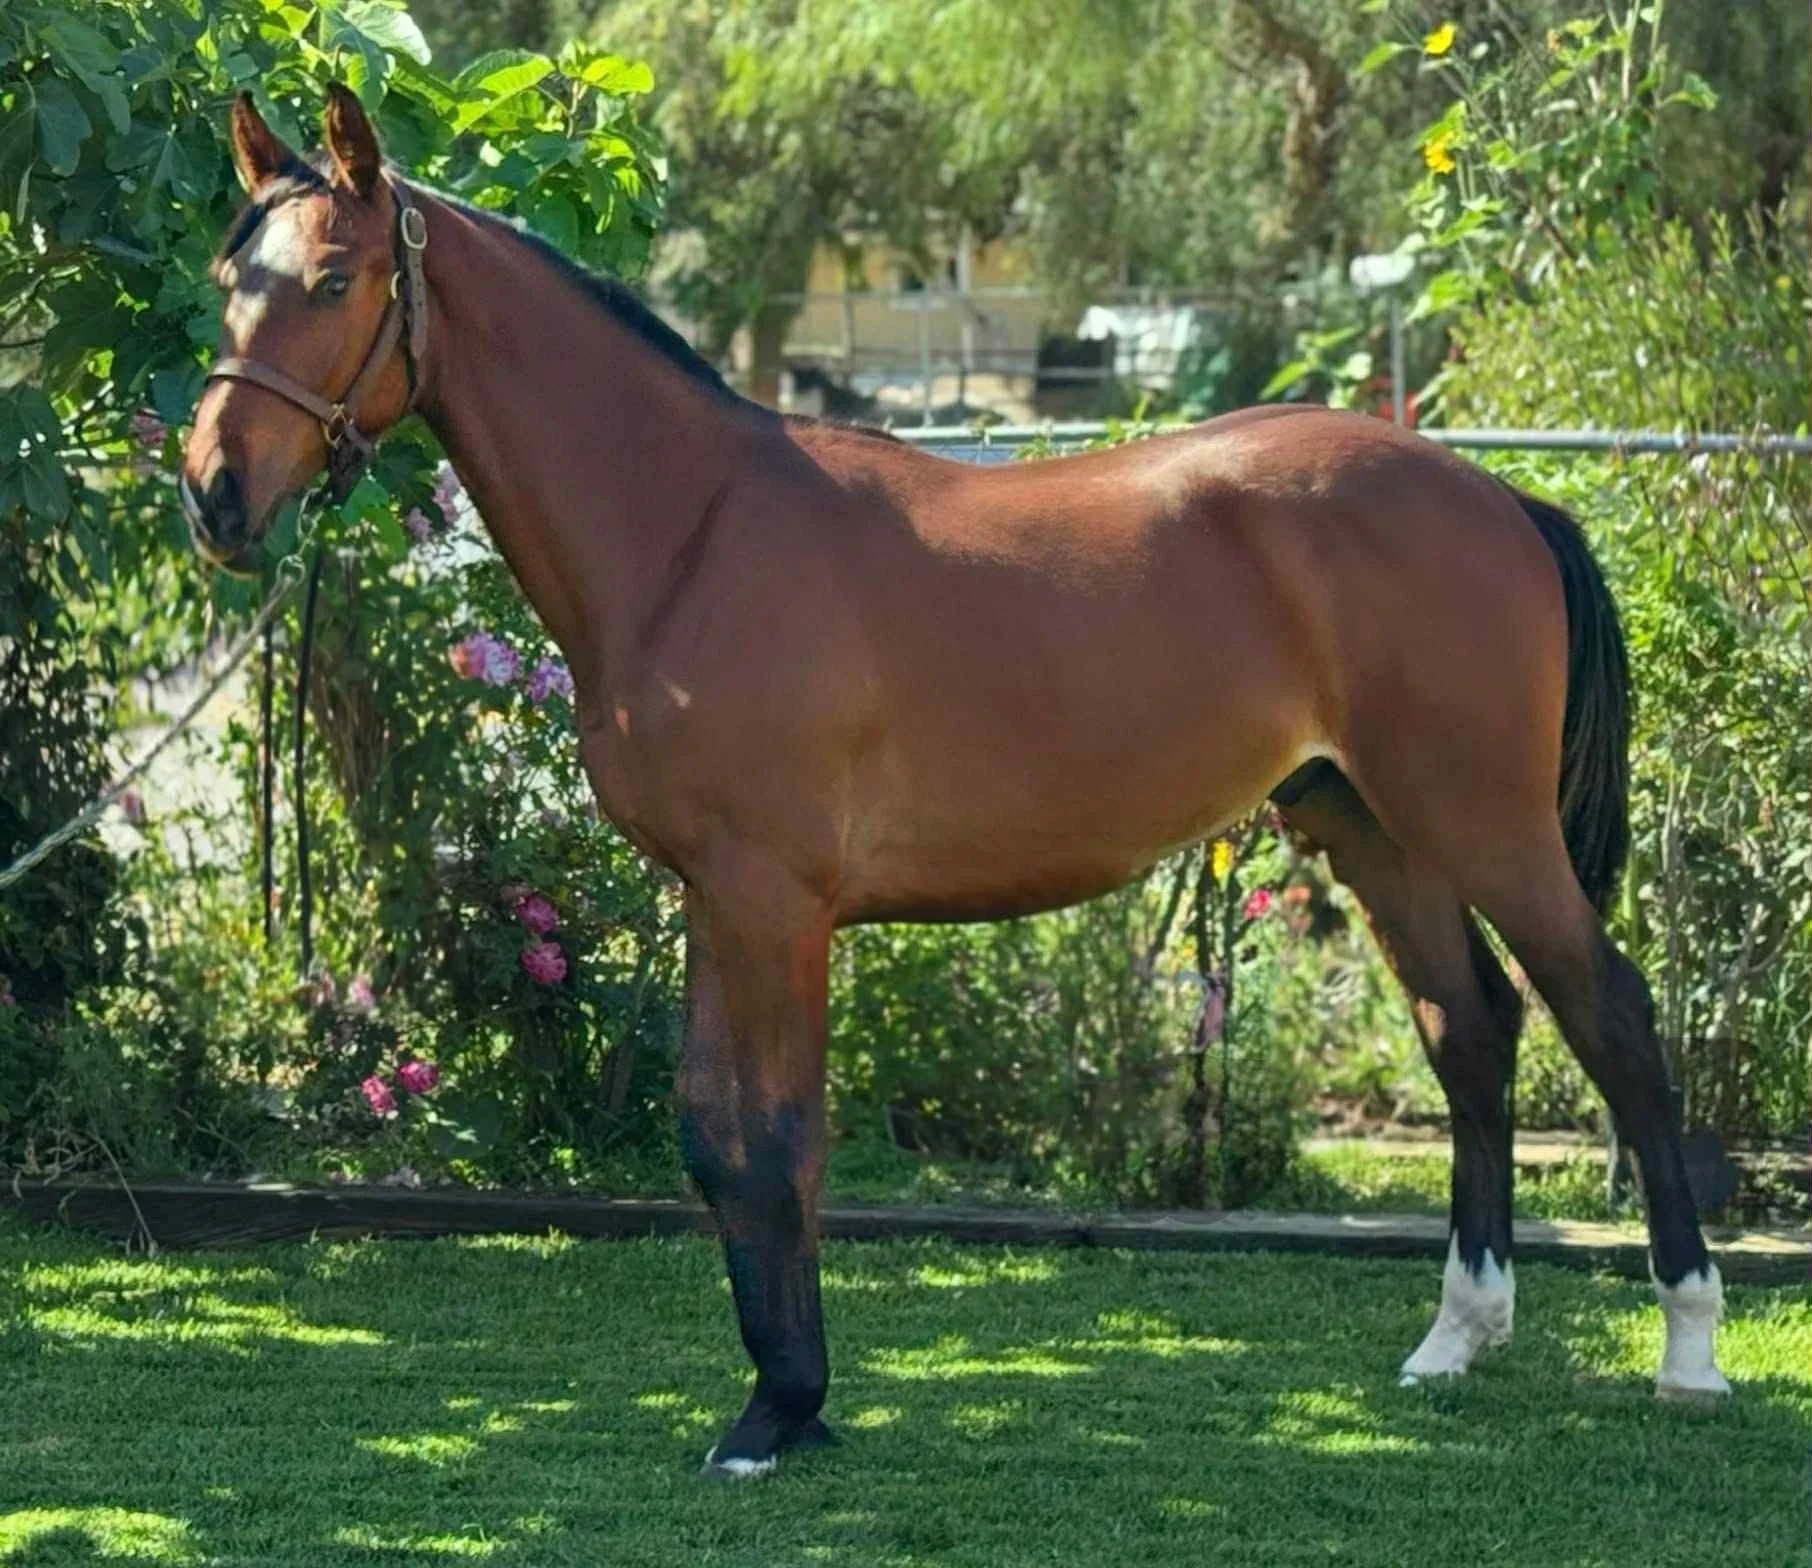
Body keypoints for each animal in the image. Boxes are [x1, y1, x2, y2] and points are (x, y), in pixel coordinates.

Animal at [181, 86, 1730, 1476]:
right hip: (1374, 830)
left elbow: (779, 1141)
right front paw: (781, 1397)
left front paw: (780, 1412)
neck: (693, 529)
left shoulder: (776, 905)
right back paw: (1457, 1337)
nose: (214, 494)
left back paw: (1689, 1349)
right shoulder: (713, 897)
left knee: (1616, 1023)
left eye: (334, 277)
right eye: (223, 279)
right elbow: (709, 1133)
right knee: (1471, 1035)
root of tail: (1499, 493)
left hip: (1486, 825)